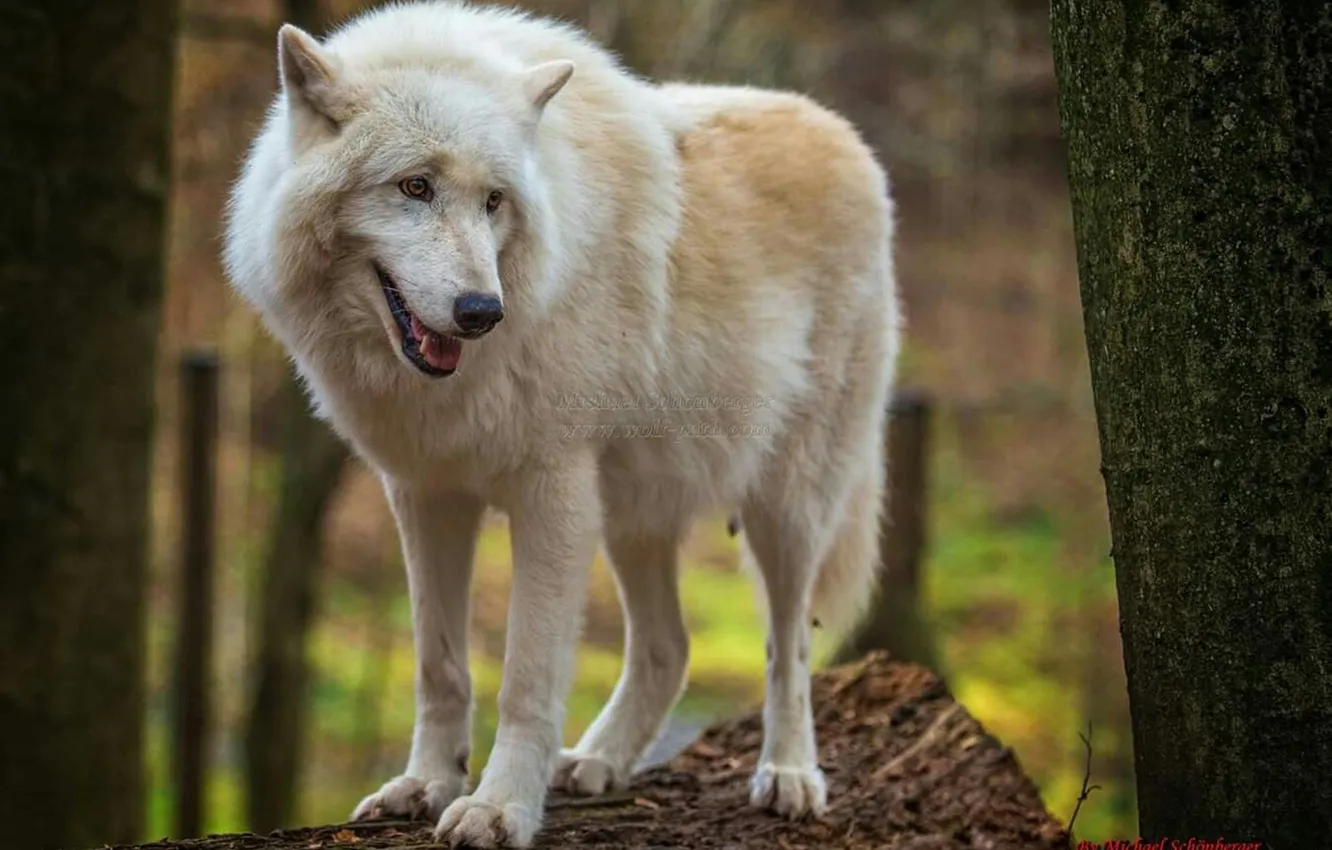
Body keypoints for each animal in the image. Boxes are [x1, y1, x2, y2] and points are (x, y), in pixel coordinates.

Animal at [224, 2, 900, 847]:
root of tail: (851, 139)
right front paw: (426, 784)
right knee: (670, 649)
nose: (481, 311)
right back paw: (598, 762)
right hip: (634, 514)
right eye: (415, 186)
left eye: (494, 201)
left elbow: (527, 677)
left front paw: (498, 808)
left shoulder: (552, 495)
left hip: (787, 507)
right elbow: (439, 665)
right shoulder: (426, 494)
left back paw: (789, 775)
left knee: (790, 645)